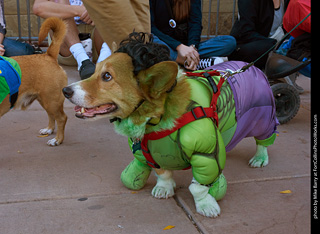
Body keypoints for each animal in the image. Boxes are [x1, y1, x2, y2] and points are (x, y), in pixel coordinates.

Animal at [0, 17, 68, 146]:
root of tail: (48, 55)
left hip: (51, 100)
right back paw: (49, 129)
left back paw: (57, 140)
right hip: (44, 100)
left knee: (62, 118)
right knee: (51, 115)